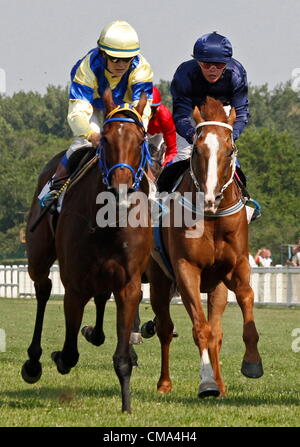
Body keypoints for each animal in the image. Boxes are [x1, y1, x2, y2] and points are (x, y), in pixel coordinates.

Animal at [21, 89, 152, 414]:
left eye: (140, 140)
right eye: (105, 139)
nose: (120, 192)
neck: (108, 222)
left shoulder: (129, 282)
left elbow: (122, 356)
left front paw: (127, 404)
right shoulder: (75, 284)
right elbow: (69, 353)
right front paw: (57, 357)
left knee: (101, 296)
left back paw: (94, 333)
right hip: (38, 255)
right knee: (43, 289)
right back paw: (33, 362)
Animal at [148, 98, 262, 400]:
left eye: (230, 149)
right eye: (198, 149)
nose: (211, 198)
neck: (212, 217)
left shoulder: (237, 266)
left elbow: (246, 297)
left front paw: (252, 362)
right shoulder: (186, 269)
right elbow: (200, 328)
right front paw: (207, 382)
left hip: (217, 288)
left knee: (217, 332)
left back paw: (221, 384)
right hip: (158, 280)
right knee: (165, 328)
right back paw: (166, 383)